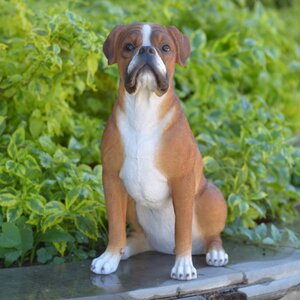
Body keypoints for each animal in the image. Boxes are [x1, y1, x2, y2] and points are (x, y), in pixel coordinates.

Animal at [90, 22, 229, 280]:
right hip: (132, 203)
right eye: (128, 47)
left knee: (213, 236)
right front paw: (110, 256)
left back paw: (215, 252)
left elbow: (182, 228)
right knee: (138, 236)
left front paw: (183, 265)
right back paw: (125, 249)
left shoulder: (182, 182)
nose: (146, 50)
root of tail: (160, 247)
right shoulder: (112, 180)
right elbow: (115, 225)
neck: (143, 108)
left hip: (211, 198)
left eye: (165, 47)